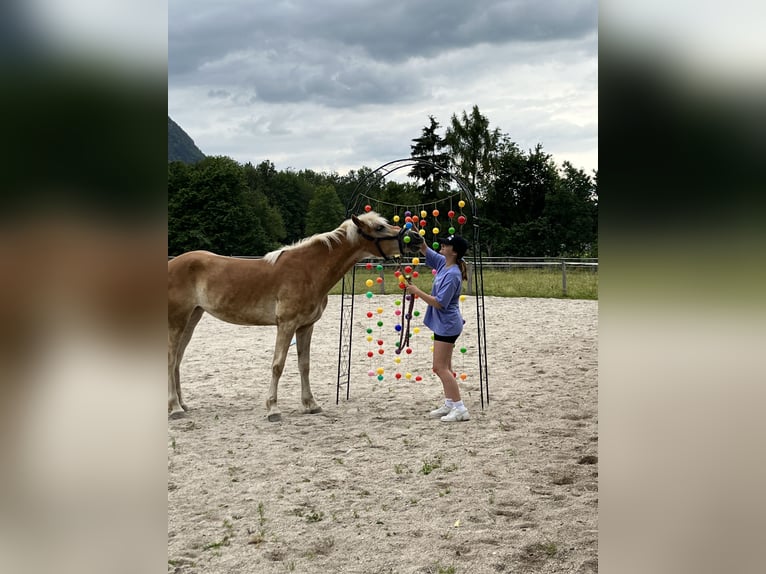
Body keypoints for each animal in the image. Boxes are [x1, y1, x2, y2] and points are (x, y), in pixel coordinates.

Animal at [168, 212, 424, 424]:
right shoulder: (286, 324)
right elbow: (277, 365)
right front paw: (273, 409)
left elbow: (304, 365)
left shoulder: (305, 327)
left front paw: (310, 404)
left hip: (192, 318)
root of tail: (172, 263)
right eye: (380, 227)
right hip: (178, 320)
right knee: (171, 360)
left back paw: (182, 404)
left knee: (178, 360)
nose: (416, 238)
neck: (308, 270)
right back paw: (174, 408)